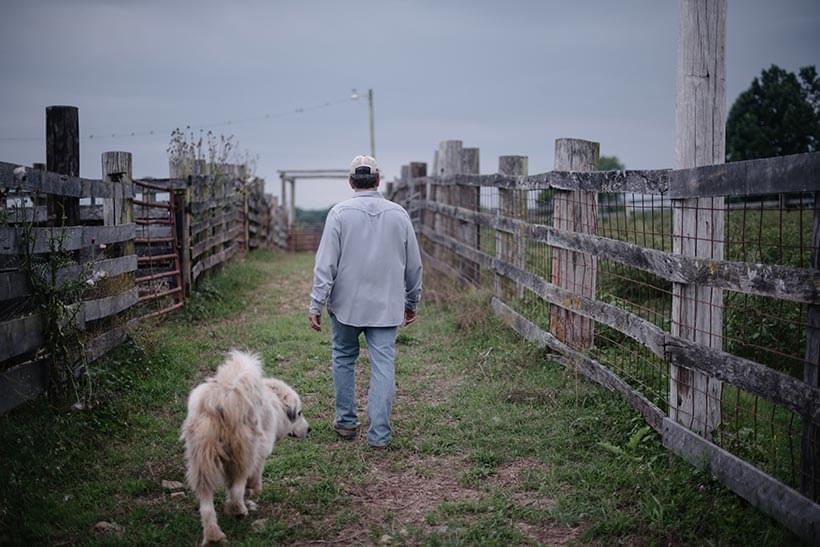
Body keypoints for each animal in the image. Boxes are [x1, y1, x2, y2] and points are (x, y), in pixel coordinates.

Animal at [181, 354, 310, 544]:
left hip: (201, 460)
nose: (310, 430)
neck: (274, 403)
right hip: (244, 455)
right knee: (237, 489)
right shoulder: (261, 452)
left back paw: (213, 535)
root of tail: (221, 400)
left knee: (206, 503)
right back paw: (238, 510)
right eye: (299, 413)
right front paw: (252, 490)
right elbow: (252, 479)